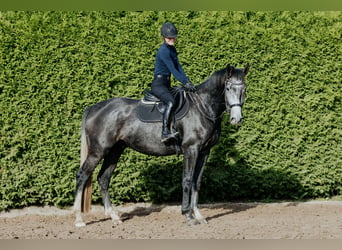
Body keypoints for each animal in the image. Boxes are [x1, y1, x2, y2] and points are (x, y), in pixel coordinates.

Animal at [73, 64, 248, 227]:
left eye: (244, 89)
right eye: (228, 88)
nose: (236, 119)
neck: (202, 107)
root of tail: (95, 107)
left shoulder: (204, 152)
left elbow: (196, 182)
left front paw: (198, 215)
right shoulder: (191, 150)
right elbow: (187, 180)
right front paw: (188, 215)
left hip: (115, 150)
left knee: (103, 178)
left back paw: (114, 216)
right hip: (98, 151)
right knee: (82, 175)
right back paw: (79, 219)